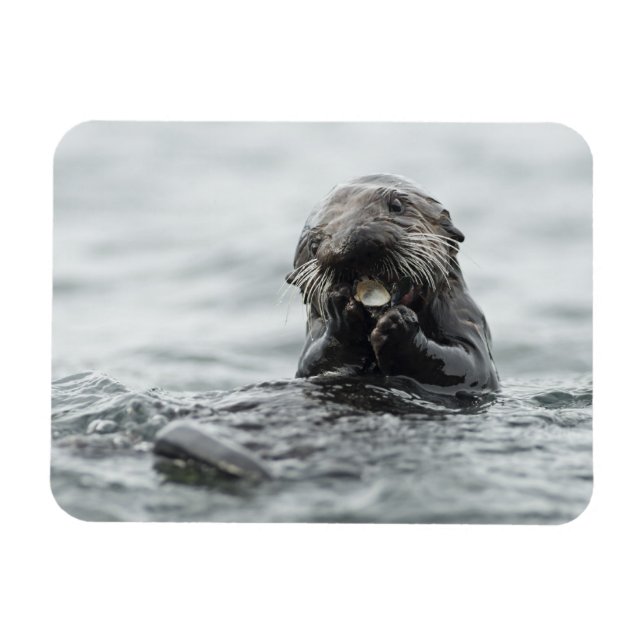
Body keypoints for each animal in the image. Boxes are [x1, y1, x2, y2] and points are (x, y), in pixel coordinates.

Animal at [286, 174, 499, 392]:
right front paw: (340, 313)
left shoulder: (465, 316)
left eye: (396, 206)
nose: (349, 243)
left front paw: (399, 323)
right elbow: (314, 364)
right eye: (313, 245)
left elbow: (470, 365)